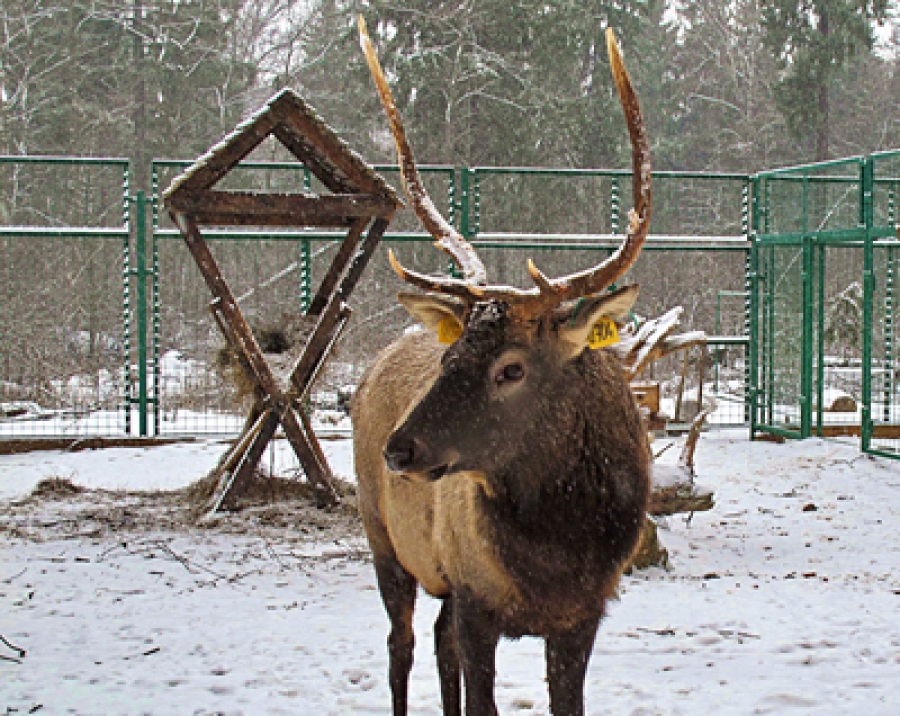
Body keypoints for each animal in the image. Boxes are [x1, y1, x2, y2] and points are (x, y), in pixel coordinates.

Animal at [356, 18, 652, 716]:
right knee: (402, 642)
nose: (399, 450)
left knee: (435, 643)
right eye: (452, 354)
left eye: (512, 369)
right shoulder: (475, 600)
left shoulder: (583, 615)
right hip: (383, 538)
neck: (557, 556)